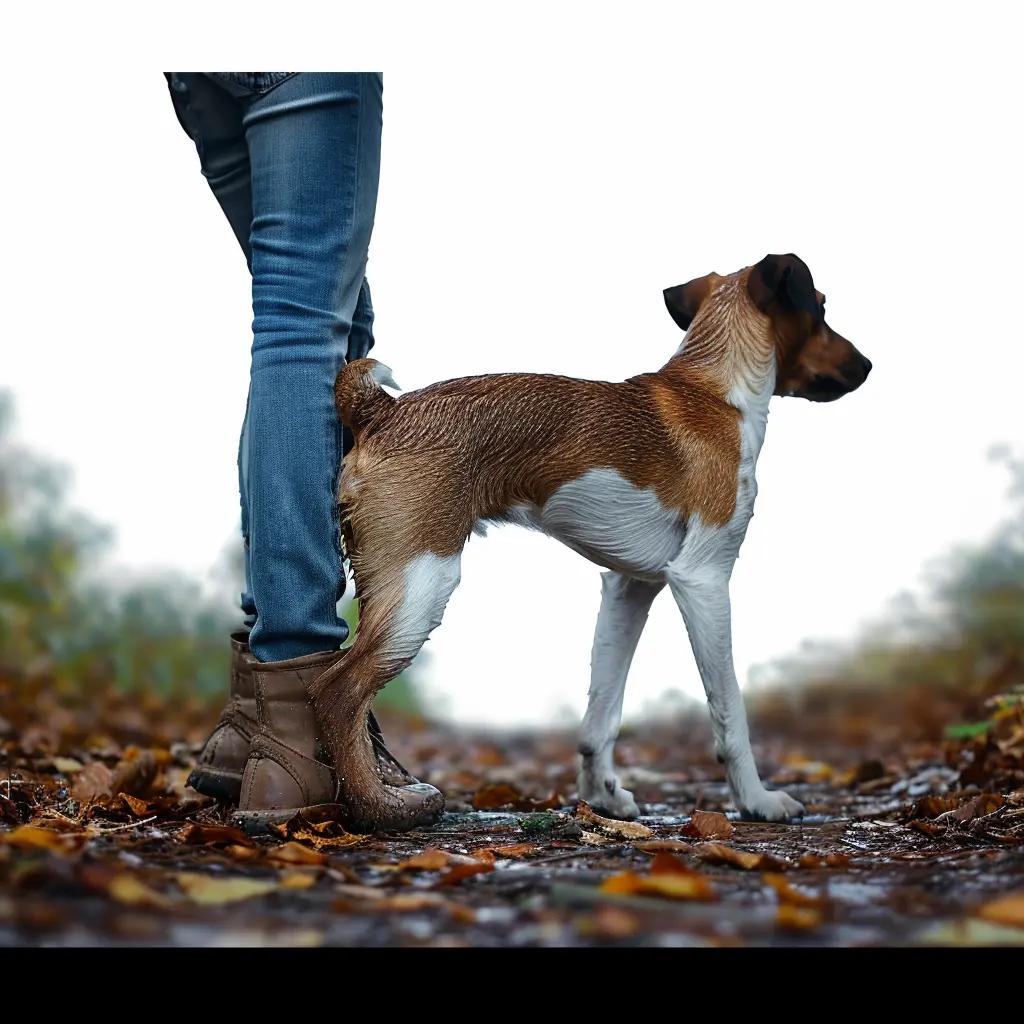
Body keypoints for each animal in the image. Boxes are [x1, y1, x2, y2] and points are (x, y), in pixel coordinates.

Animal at [311, 251, 872, 827]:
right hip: (422, 583)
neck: (715, 392)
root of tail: (384, 410)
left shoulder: (629, 587)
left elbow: (602, 710)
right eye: (821, 308)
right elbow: (729, 709)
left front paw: (601, 796)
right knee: (337, 692)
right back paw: (377, 806)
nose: (868, 365)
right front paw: (756, 800)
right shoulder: (704, 580)